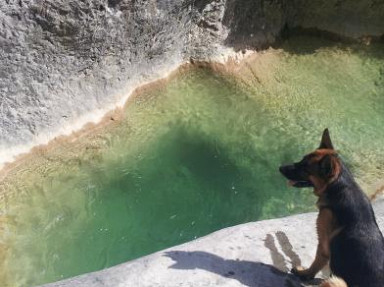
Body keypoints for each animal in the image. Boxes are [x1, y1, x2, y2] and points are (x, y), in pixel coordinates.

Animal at [280, 129, 384, 286]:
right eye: (301, 160)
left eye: (305, 168)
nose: (280, 168)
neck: (339, 187)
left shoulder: (323, 243)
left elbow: (316, 263)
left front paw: (304, 273)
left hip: (337, 281)